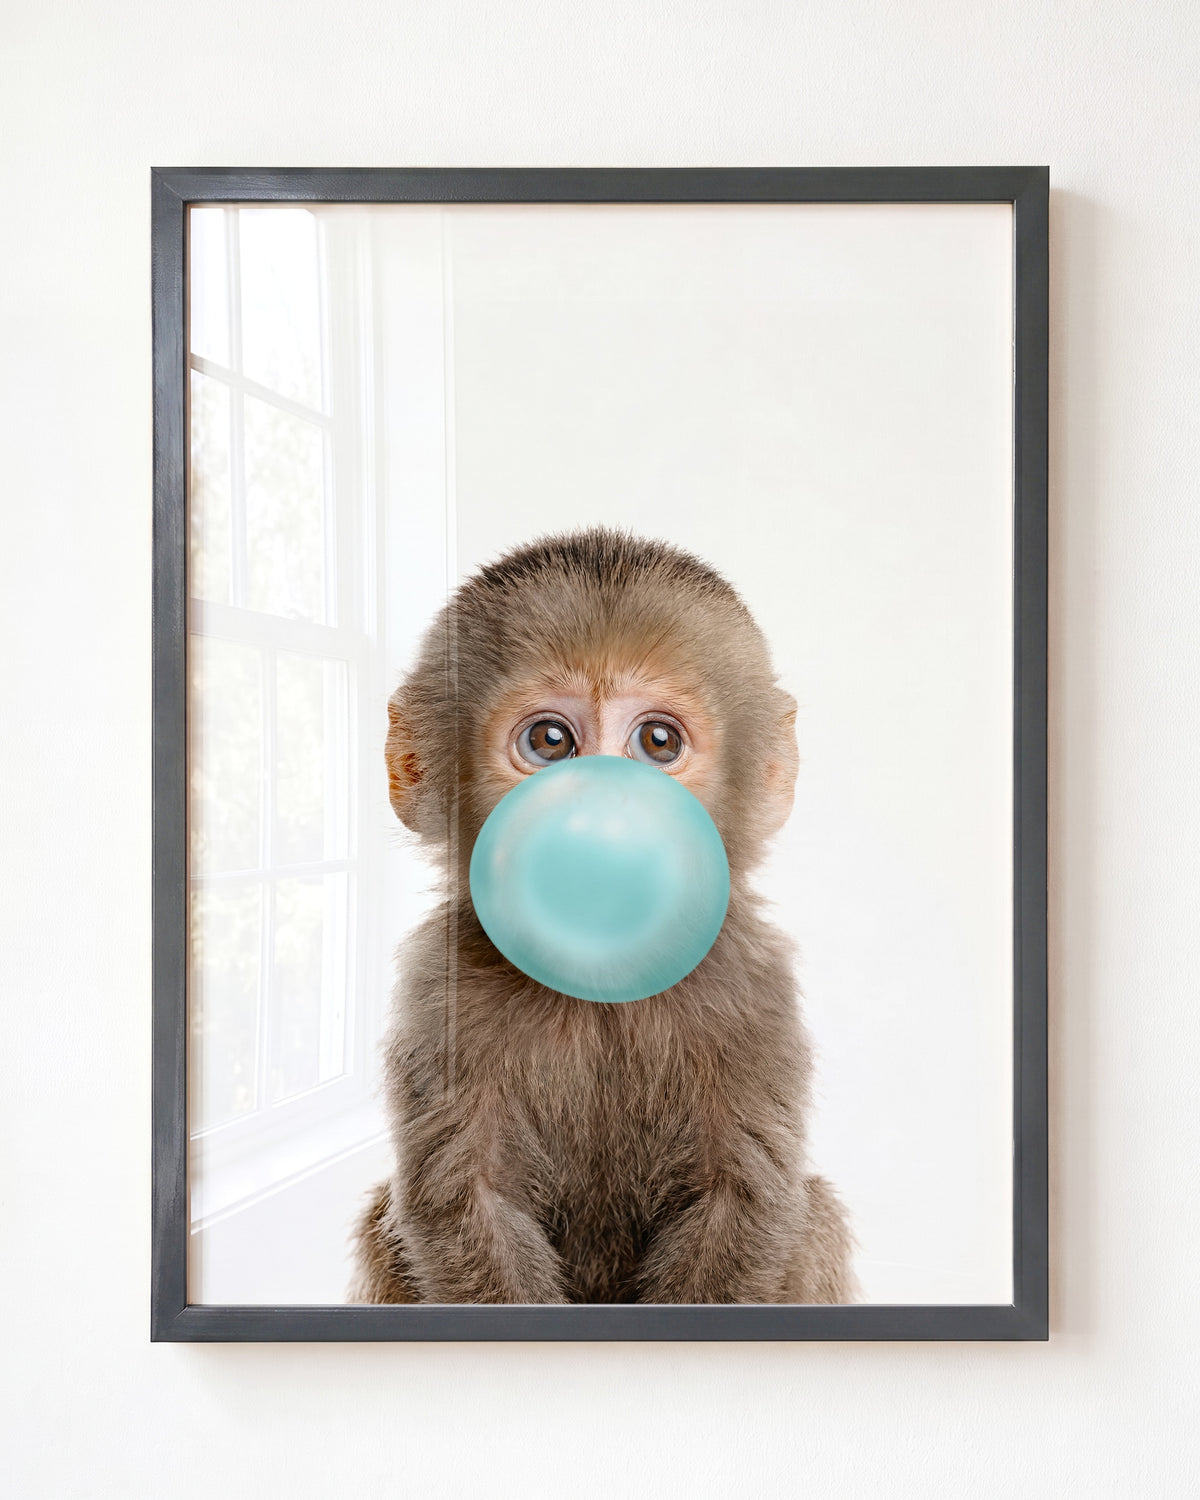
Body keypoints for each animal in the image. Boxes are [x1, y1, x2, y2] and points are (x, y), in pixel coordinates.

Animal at [349, 527, 855, 1304]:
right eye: (550, 742)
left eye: (657, 743)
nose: (603, 812)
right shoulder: (441, 986)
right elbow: (468, 1202)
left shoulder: (753, 984)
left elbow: (740, 1202)